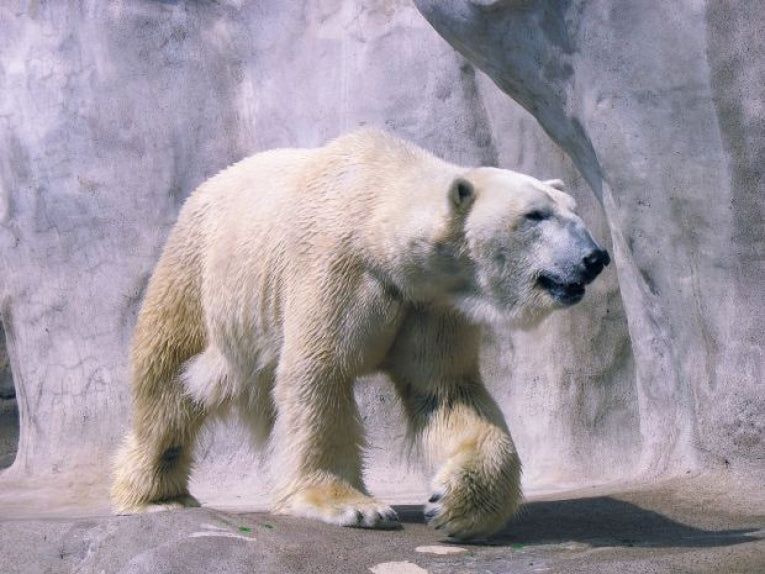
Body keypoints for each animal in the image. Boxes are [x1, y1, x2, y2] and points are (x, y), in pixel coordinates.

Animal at [111, 129, 610, 539]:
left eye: (573, 210)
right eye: (534, 215)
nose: (596, 257)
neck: (379, 214)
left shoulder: (429, 305)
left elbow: (446, 391)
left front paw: (455, 504)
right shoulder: (340, 270)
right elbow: (320, 375)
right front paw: (351, 506)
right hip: (198, 270)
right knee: (167, 379)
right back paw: (154, 496)